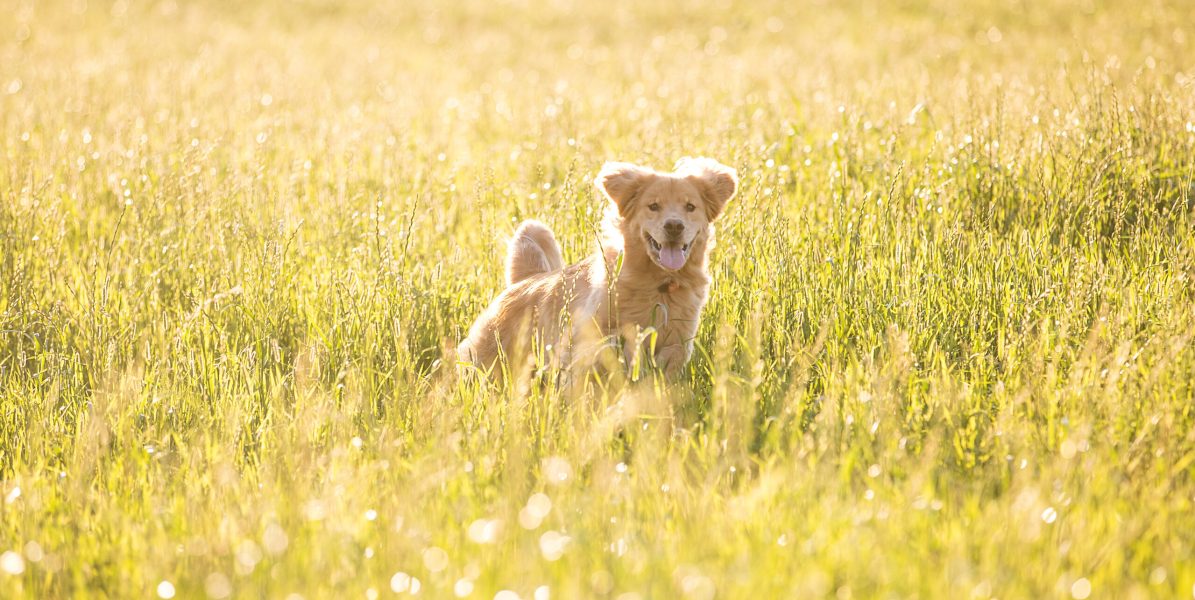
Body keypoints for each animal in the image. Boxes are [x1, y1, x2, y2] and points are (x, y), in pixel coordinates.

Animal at [456, 155, 736, 380]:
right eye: (653, 206)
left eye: (690, 207)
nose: (674, 226)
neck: (659, 285)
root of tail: (524, 280)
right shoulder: (583, 341)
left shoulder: (678, 342)